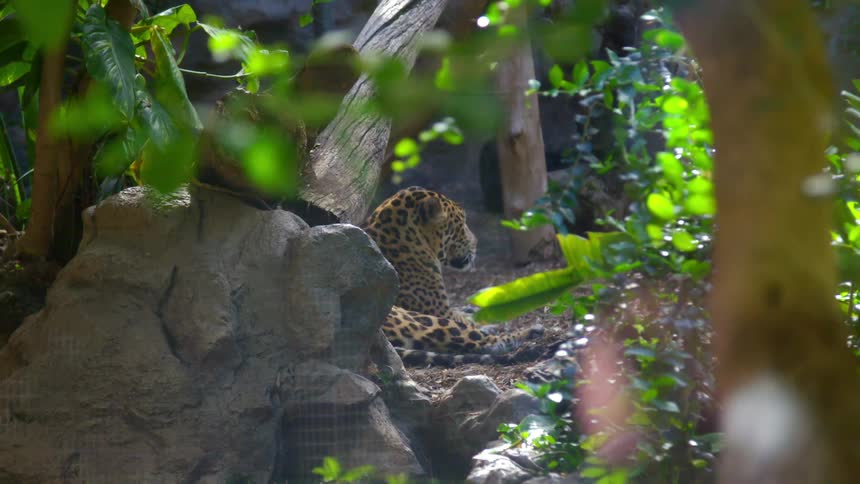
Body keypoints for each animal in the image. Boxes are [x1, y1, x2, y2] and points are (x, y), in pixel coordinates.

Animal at [361, 186, 543, 367]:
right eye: (461, 224)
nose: (476, 242)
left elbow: (464, 314)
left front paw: (473, 310)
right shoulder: (440, 311)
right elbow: (466, 321)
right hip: (419, 319)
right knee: (485, 342)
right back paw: (530, 333)